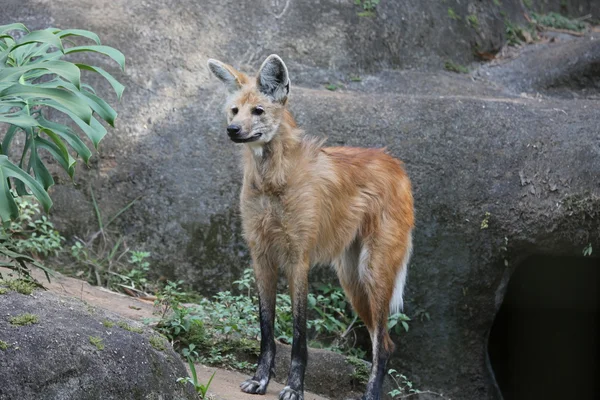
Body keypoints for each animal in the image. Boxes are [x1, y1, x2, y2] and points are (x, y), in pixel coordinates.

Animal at [209, 54, 414, 400]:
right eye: (234, 110)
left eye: (258, 111)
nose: (232, 129)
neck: (272, 180)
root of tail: (396, 165)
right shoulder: (261, 255)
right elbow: (266, 327)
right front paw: (260, 380)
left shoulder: (297, 258)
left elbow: (298, 334)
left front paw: (294, 387)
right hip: (352, 280)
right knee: (382, 340)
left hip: (373, 272)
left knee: (384, 344)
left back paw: (371, 395)